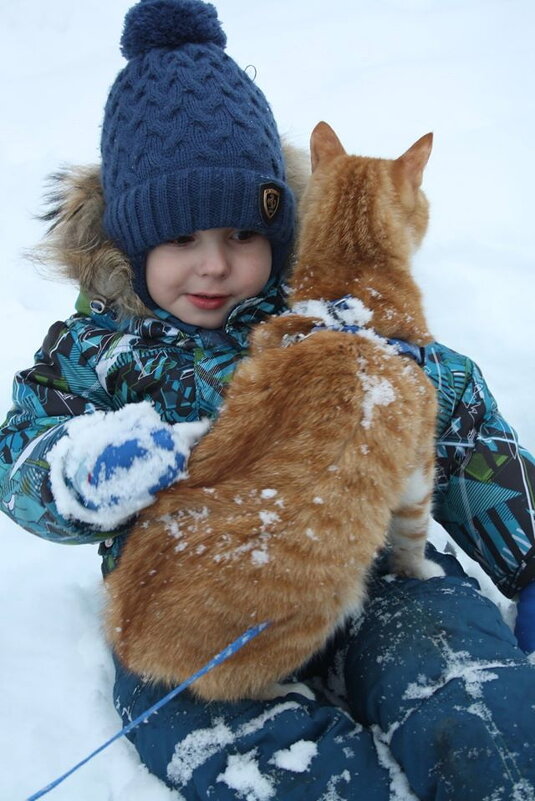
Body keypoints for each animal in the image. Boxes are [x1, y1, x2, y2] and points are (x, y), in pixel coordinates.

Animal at [104, 120, 444, 700]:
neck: (351, 294)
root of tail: (131, 641)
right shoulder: (417, 472)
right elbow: (413, 538)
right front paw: (420, 572)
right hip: (319, 610)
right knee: (244, 687)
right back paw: (290, 690)